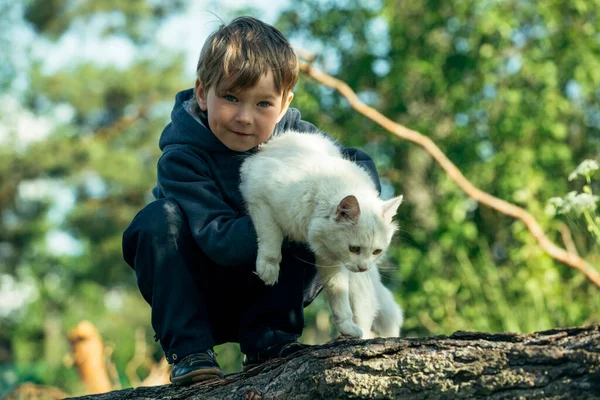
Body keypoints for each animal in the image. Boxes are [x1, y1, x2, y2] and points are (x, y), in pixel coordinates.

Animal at [239, 130, 404, 338]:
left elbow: (339, 298)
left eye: (376, 251)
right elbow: (271, 238)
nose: (363, 267)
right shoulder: (260, 197)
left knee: (366, 310)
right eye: (354, 248)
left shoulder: (331, 261)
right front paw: (268, 269)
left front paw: (348, 329)